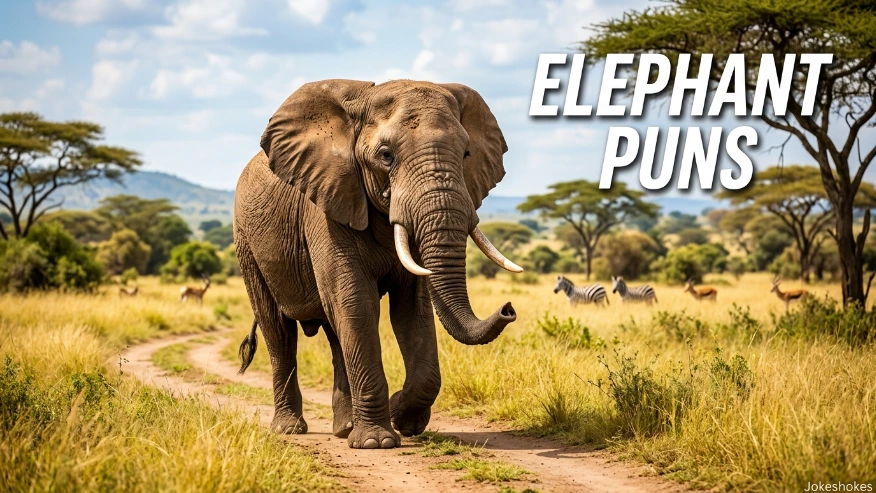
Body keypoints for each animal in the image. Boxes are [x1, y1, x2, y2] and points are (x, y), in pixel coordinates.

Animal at [234, 79, 521, 450]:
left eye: (466, 154)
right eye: (386, 156)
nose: (508, 308)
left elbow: (411, 308)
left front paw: (404, 418)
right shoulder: (326, 207)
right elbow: (356, 302)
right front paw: (377, 442)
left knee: (335, 334)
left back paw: (344, 428)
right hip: (247, 245)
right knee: (279, 331)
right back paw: (289, 429)